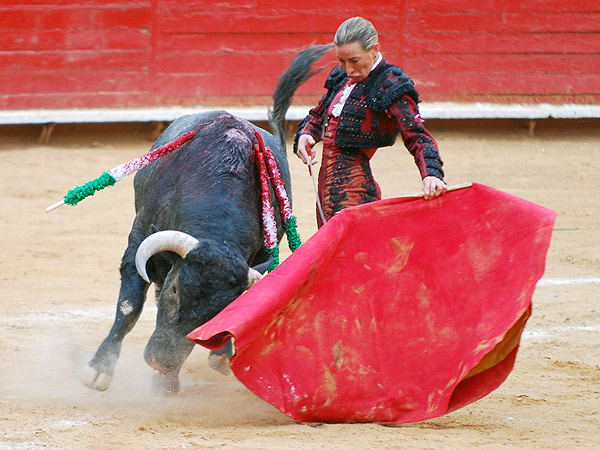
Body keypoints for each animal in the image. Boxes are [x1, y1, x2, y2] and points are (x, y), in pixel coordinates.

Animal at [81, 44, 332, 394]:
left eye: (213, 318)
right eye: (175, 291)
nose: (160, 361)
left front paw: (169, 382)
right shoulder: (138, 242)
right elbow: (129, 305)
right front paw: (99, 370)